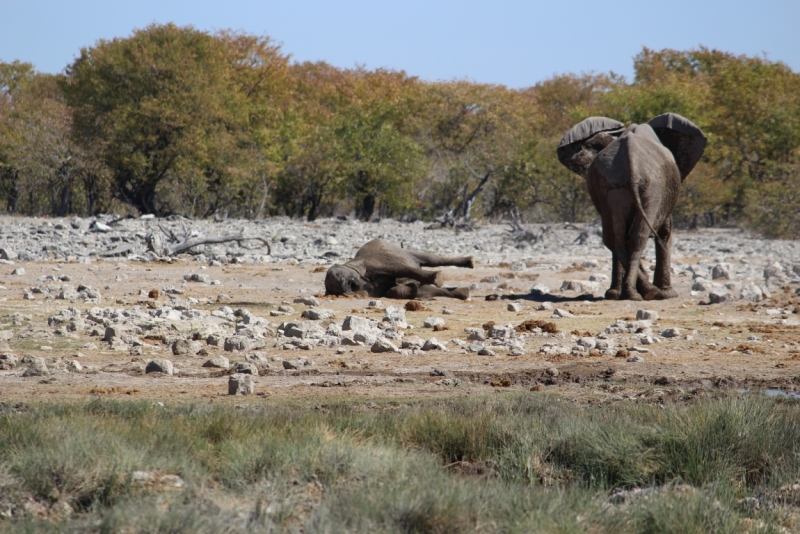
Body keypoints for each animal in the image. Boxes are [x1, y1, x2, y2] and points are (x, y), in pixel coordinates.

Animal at [324, 240, 476, 302]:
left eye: (340, 274)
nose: (350, 286)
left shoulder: (373, 264)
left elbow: (399, 269)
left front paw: (438, 278)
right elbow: (393, 291)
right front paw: (412, 288)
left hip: (407, 252)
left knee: (432, 259)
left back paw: (471, 262)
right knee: (429, 289)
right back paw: (464, 293)